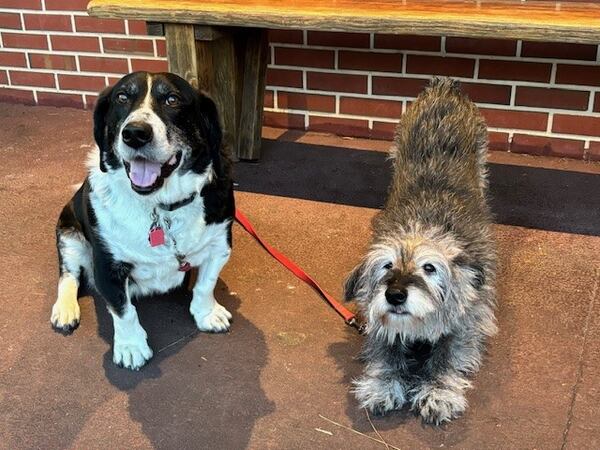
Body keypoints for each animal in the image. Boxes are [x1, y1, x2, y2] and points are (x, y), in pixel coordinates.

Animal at [51, 72, 236, 370]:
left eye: (172, 99)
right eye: (122, 97)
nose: (135, 133)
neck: (160, 206)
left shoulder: (220, 244)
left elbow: (206, 284)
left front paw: (207, 314)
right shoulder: (107, 266)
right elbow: (123, 311)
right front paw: (131, 347)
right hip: (68, 234)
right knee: (68, 275)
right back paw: (65, 309)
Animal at [342, 78, 496, 426]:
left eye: (430, 268)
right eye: (386, 266)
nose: (395, 295)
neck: (422, 226)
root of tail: (444, 86)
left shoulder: (465, 323)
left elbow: (447, 358)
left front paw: (439, 392)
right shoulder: (380, 325)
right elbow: (385, 354)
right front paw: (383, 385)